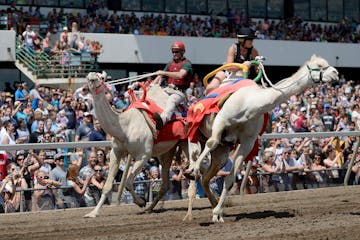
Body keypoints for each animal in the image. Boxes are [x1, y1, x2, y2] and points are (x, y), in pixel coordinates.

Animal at [83, 71, 187, 218]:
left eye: (101, 77)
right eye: (88, 77)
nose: (92, 78)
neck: (124, 128)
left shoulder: (144, 155)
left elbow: (127, 181)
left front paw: (141, 202)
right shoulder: (116, 153)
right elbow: (108, 185)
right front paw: (93, 212)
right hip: (167, 151)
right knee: (166, 183)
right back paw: (149, 208)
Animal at [187, 55, 338, 222]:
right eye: (319, 65)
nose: (336, 73)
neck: (250, 105)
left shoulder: (248, 140)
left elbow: (230, 179)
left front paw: (217, 213)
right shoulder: (221, 120)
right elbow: (211, 142)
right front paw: (193, 170)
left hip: (222, 151)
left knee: (207, 177)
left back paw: (215, 206)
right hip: (193, 133)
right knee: (197, 158)